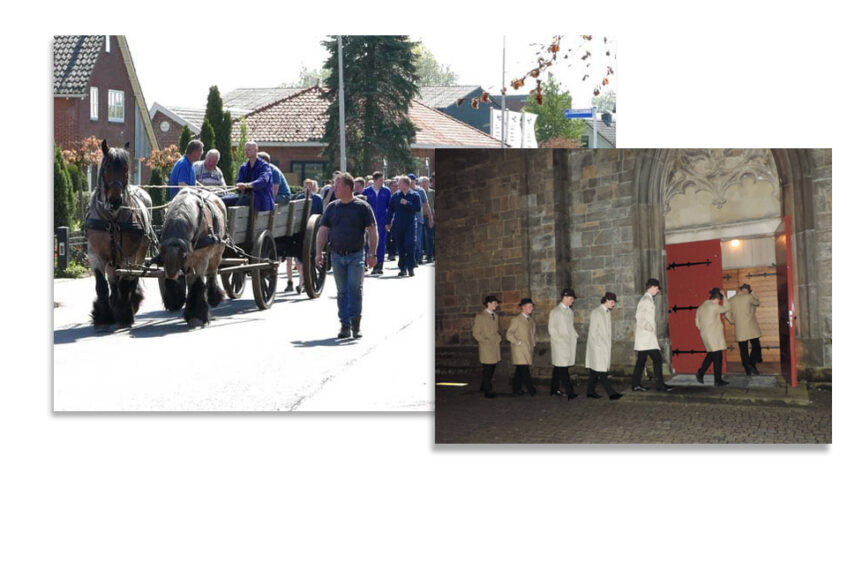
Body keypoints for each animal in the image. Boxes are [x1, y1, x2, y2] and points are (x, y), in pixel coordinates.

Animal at [86, 139, 154, 328]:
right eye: (107, 166)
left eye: (125, 168)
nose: (115, 200)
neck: (112, 220)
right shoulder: (95, 255)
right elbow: (101, 285)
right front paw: (103, 315)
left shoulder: (128, 256)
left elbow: (125, 283)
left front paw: (124, 313)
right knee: (113, 280)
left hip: (139, 253)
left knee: (132, 278)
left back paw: (131, 302)